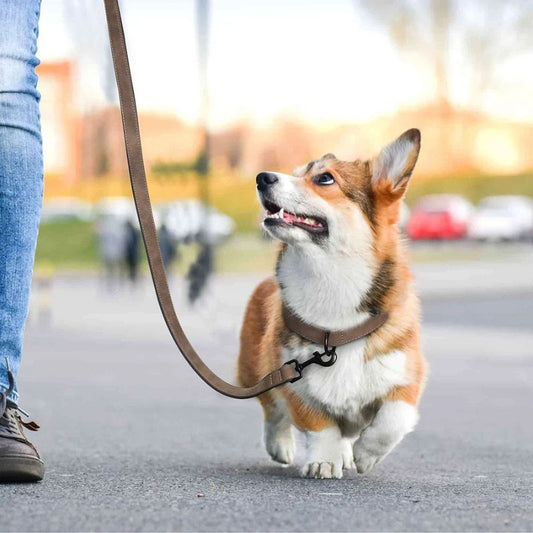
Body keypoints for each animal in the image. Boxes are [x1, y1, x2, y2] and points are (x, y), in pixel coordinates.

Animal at [235, 129, 426, 478]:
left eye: (324, 178)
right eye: (296, 173)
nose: (262, 177)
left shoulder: (407, 375)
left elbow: (393, 419)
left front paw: (366, 454)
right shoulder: (292, 379)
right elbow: (320, 426)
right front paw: (324, 460)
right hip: (253, 369)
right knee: (272, 411)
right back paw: (280, 445)